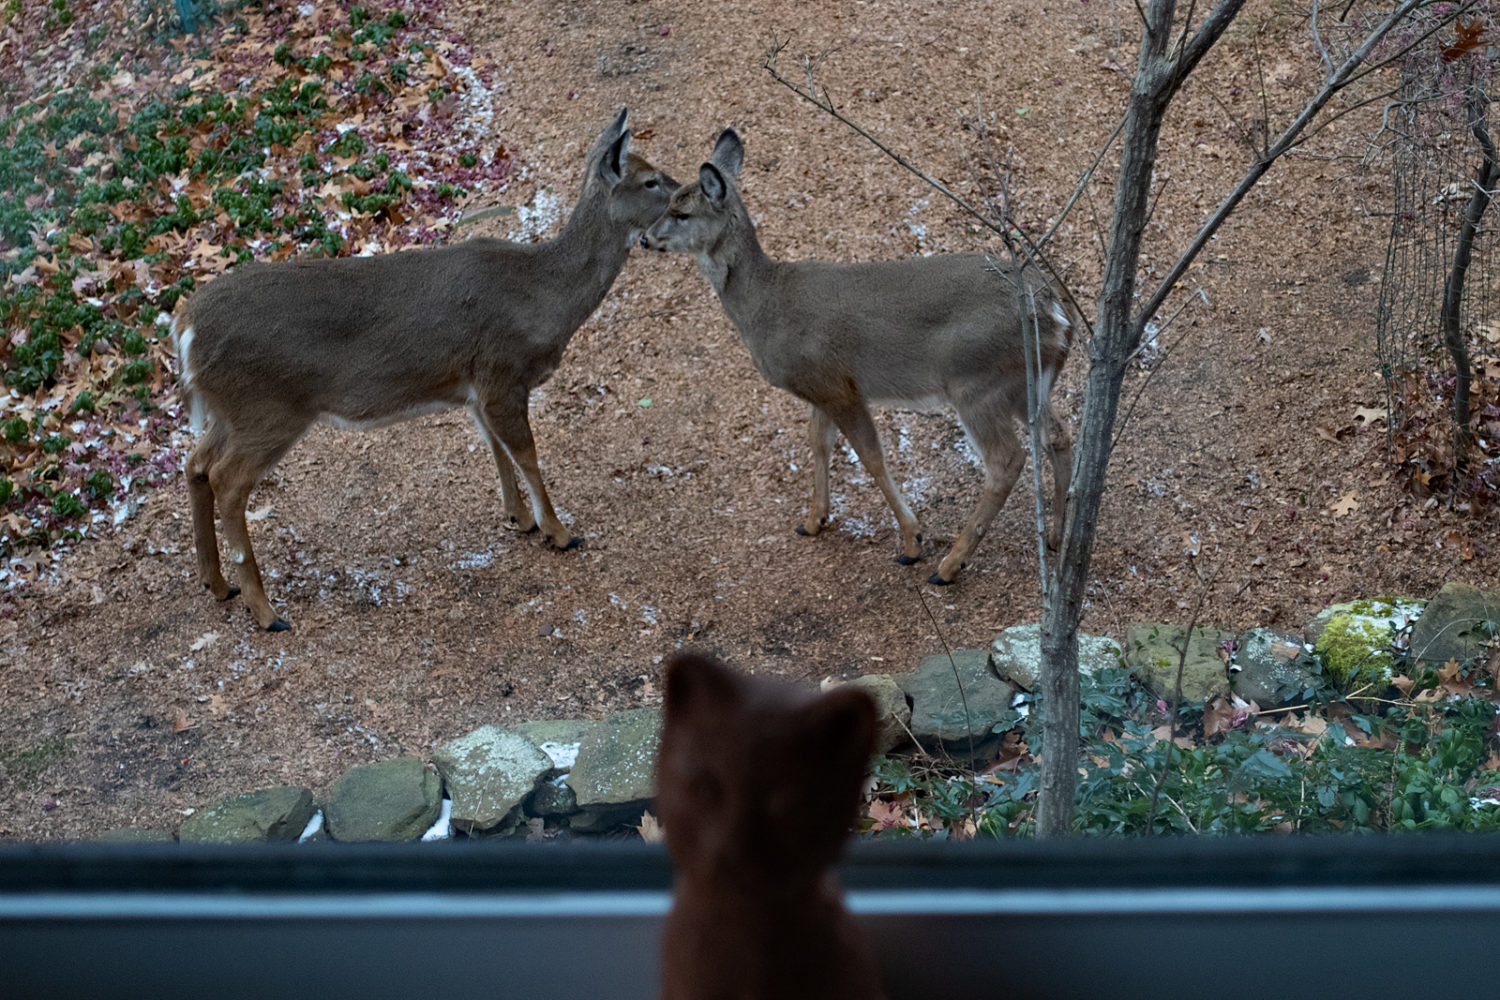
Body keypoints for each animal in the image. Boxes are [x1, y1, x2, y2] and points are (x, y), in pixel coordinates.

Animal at [171, 111, 681, 632]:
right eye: (650, 180)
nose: (686, 194)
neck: (544, 295)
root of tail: (185, 328)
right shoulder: (502, 372)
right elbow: (526, 454)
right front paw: (558, 531)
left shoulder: (477, 387)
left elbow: (497, 449)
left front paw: (520, 518)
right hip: (269, 408)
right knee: (228, 482)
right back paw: (265, 610)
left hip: (232, 412)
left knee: (195, 464)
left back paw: (218, 584)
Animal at [645, 131, 1080, 587]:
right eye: (669, 202)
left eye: (681, 211)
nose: (644, 238)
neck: (765, 305)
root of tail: (1054, 310)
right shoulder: (820, 385)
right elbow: (818, 441)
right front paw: (813, 520)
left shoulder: (840, 387)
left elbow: (870, 455)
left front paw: (911, 541)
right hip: (1027, 382)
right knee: (1057, 435)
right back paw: (1055, 535)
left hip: (976, 382)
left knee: (1006, 461)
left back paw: (949, 565)